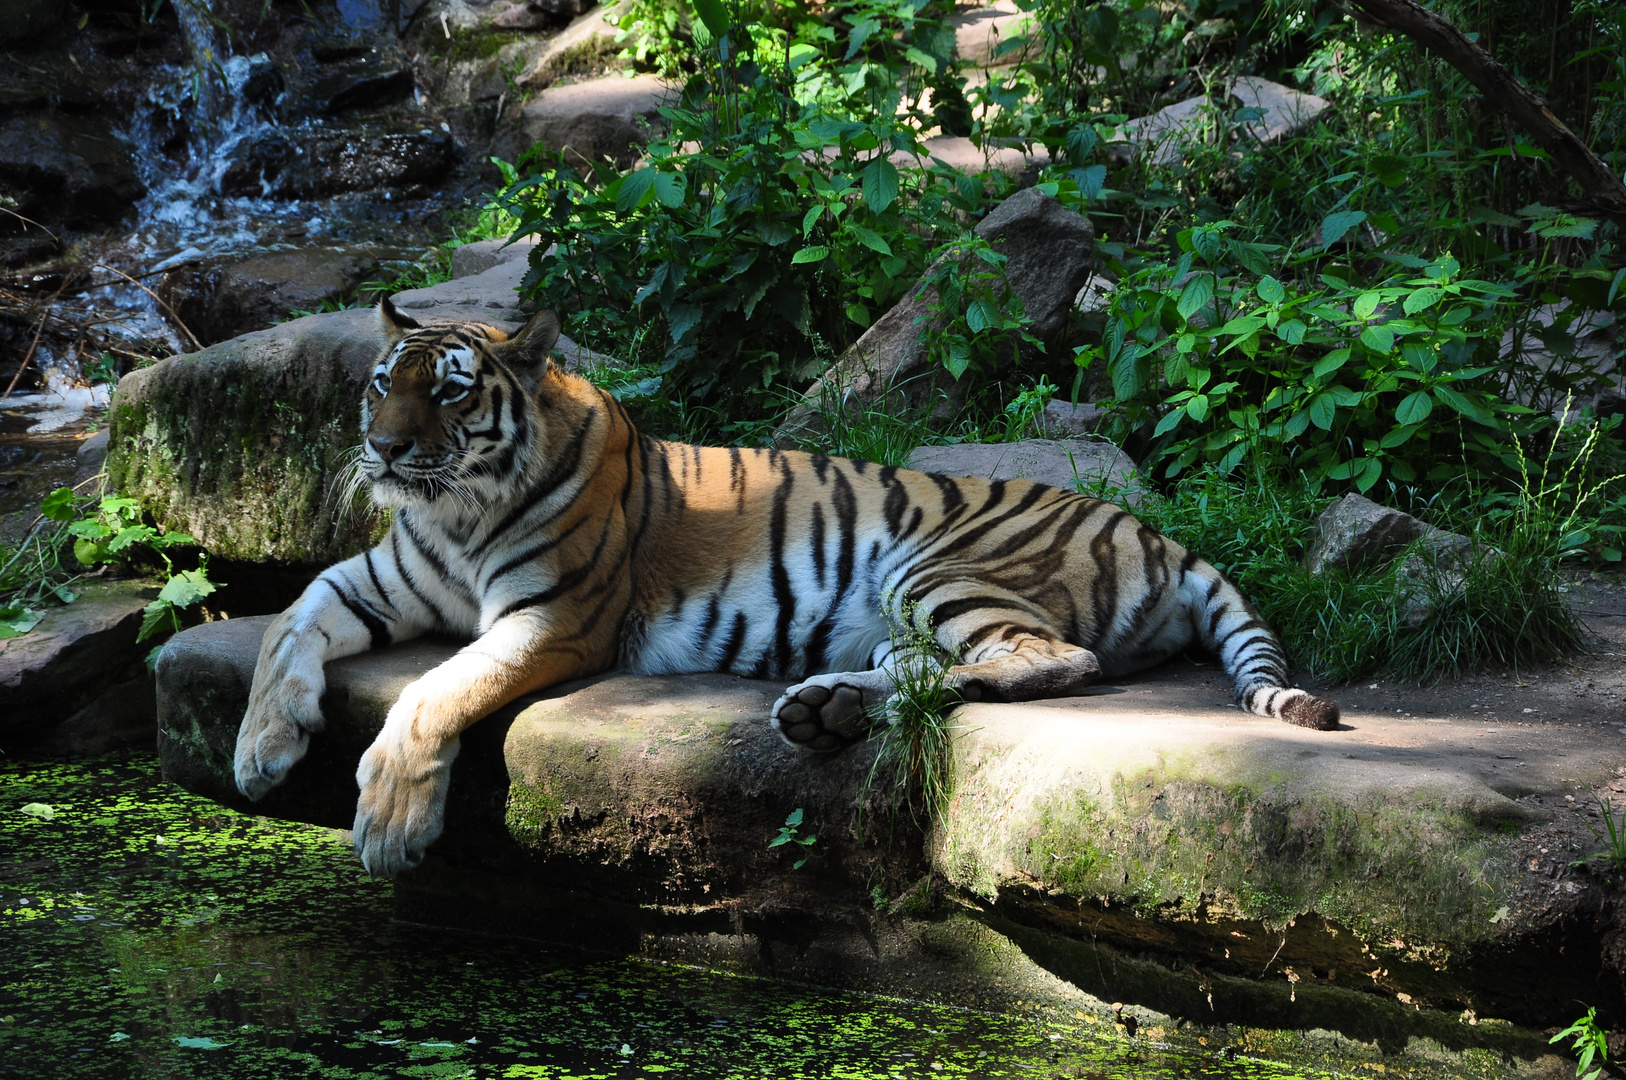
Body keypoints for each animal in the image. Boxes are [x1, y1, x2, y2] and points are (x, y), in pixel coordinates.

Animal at [235, 296, 1339, 878]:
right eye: (385, 383)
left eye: (453, 393)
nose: (383, 450)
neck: (454, 513)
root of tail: (1154, 530)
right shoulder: (374, 578)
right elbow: (285, 626)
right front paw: (259, 752)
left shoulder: (555, 617)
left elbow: (435, 690)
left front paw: (388, 823)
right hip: (901, 611)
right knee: (936, 671)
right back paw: (826, 708)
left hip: (937, 565)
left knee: (1052, 657)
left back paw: (835, 709)